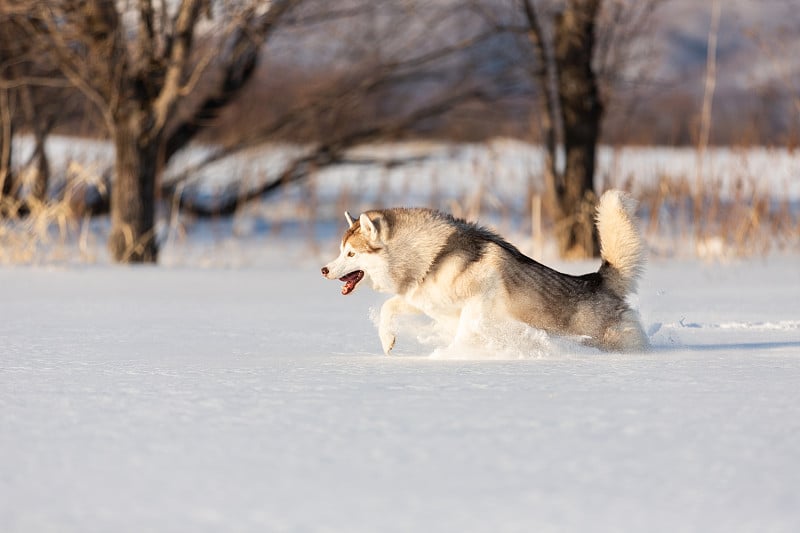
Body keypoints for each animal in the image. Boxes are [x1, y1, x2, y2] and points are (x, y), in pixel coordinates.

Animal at [322, 190, 648, 354]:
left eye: (351, 254)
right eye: (340, 251)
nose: (324, 269)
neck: (432, 256)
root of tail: (598, 279)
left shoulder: (480, 300)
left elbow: (466, 331)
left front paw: (455, 357)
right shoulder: (423, 299)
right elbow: (389, 307)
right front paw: (387, 341)